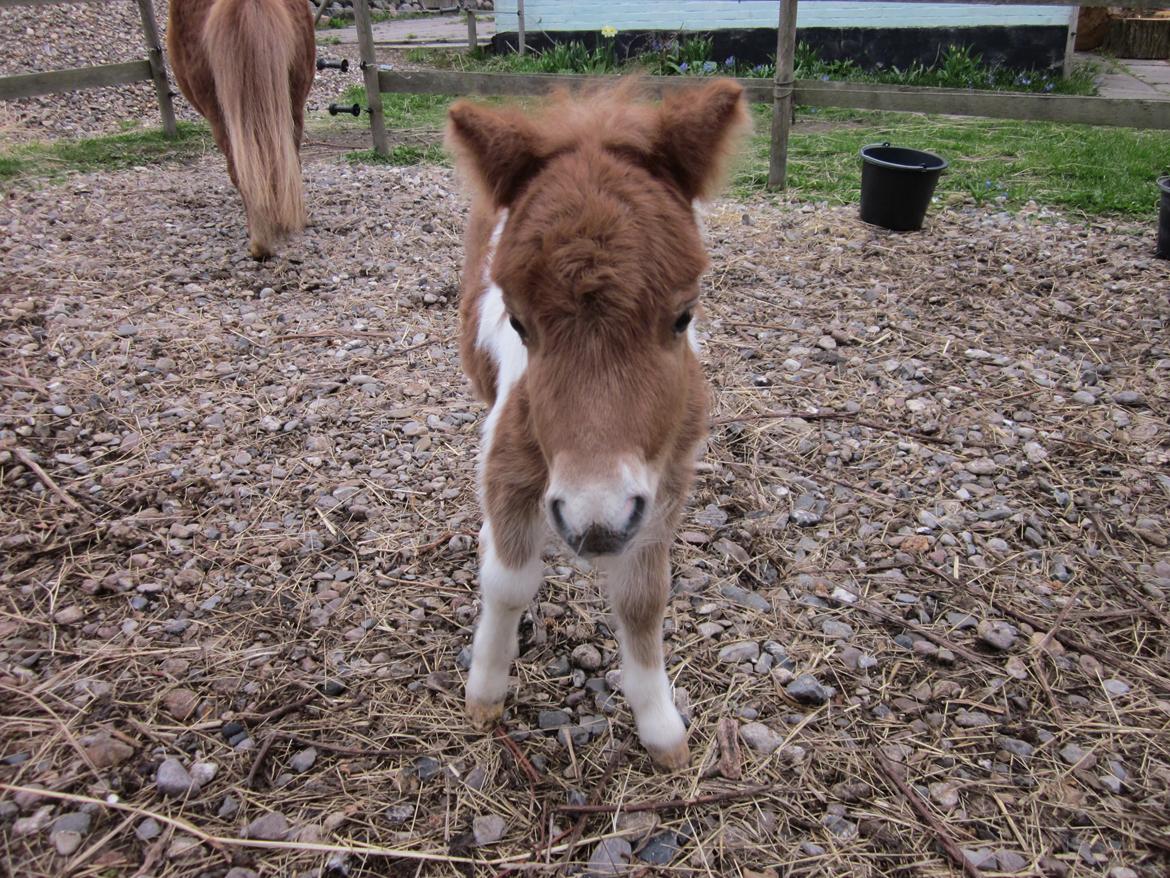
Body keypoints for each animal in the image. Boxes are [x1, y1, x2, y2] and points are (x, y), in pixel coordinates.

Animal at [446, 82, 748, 767]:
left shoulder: (663, 482)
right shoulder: (510, 455)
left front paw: (662, 730)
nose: (597, 522)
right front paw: (485, 690)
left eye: (684, 315)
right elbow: (509, 581)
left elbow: (643, 597)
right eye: (519, 322)